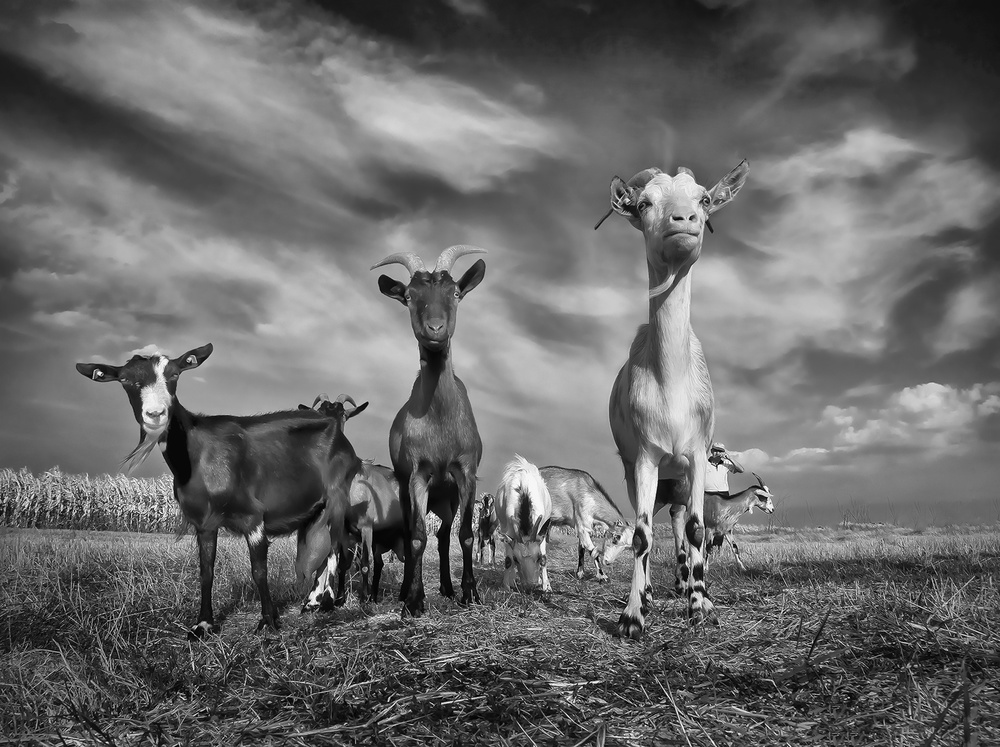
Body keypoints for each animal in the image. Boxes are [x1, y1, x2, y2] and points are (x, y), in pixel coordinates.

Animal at [75, 345, 359, 638]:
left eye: (174, 374)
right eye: (125, 380)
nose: (155, 414)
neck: (198, 455)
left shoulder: (253, 517)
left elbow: (259, 570)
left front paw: (268, 620)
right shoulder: (204, 522)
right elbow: (206, 570)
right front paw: (203, 624)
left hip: (339, 495)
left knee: (337, 546)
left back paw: (326, 601)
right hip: (317, 509)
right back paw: (312, 601)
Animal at [297, 395, 406, 604]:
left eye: (343, 415)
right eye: (320, 413)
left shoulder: (366, 528)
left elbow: (363, 564)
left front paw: (362, 598)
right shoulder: (345, 533)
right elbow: (343, 564)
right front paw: (340, 598)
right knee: (380, 563)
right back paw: (374, 595)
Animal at [371, 244, 487, 616]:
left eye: (455, 293)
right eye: (409, 296)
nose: (435, 329)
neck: (439, 419)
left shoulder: (465, 472)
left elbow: (465, 534)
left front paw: (470, 593)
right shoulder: (417, 475)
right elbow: (417, 537)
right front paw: (414, 600)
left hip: (446, 497)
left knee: (445, 535)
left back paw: (449, 588)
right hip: (409, 490)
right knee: (414, 534)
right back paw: (406, 589)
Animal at [496, 455, 553, 591]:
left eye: (538, 557)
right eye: (516, 559)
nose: (530, 585)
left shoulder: (541, 530)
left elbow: (545, 558)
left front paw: (546, 587)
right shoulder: (509, 530)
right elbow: (508, 560)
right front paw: (506, 586)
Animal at [599, 160, 750, 636]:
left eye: (704, 198)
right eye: (645, 203)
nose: (684, 220)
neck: (671, 384)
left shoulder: (698, 456)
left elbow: (699, 530)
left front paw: (701, 607)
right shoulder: (645, 457)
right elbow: (641, 536)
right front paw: (632, 615)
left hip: (681, 480)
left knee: (684, 526)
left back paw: (689, 586)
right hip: (641, 474)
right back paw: (650, 592)